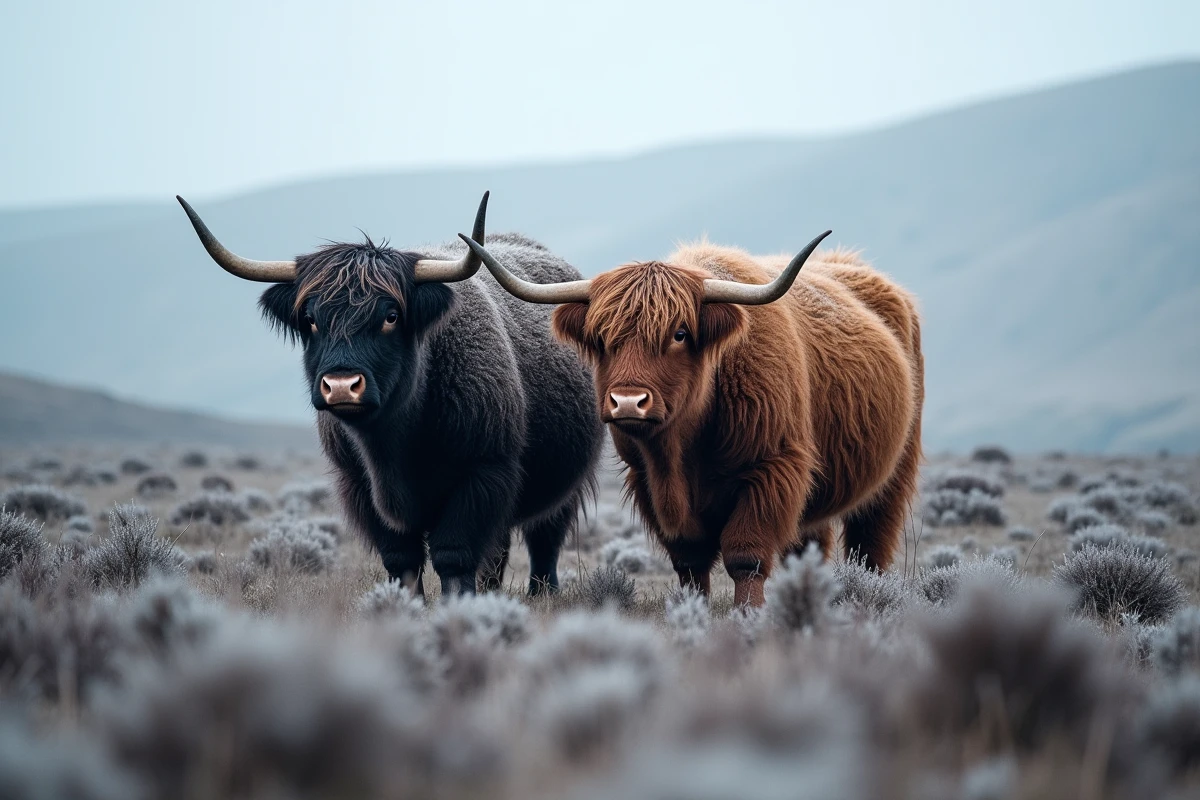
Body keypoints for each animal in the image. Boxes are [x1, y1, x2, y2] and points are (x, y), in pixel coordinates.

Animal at [176, 193, 603, 597]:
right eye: (310, 320)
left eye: (391, 316)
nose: (342, 385)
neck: (391, 443)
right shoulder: (359, 487)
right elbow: (402, 559)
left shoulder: (483, 474)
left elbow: (454, 555)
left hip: (563, 487)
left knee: (543, 541)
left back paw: (541, 593)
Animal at [461, 227, 924, 606]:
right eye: (601, 337)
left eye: (680, 334)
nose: (627, 402)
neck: (685, 446)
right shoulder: (648, 481)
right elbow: (689, 560)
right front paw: (695, 610)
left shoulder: (772, 470)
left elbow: (746, 555)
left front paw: (746, 615)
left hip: (893, 475)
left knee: (870, 543)